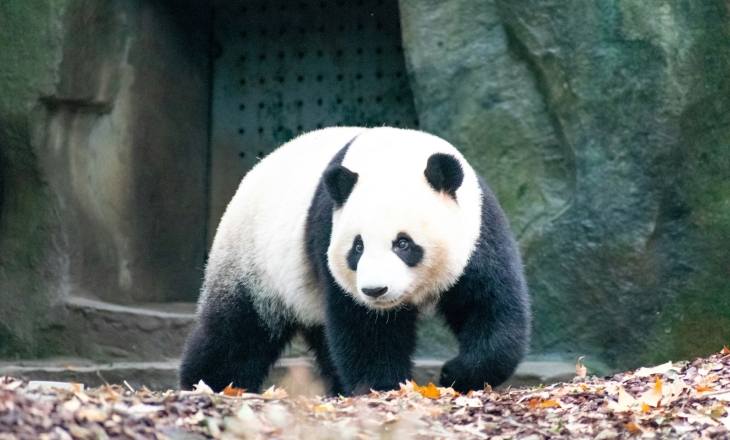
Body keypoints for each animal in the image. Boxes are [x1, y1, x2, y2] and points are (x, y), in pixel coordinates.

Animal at [179, 127, 531, 395]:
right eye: (357, 247)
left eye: (403, 243)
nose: (376, 290)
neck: (394, 155)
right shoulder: (328, 232)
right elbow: (365, 329)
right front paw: (385, 387)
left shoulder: (478, 232)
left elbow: (491, 306)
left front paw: (456, 373)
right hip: (253, 261)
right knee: (237, 331)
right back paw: (208, 383)